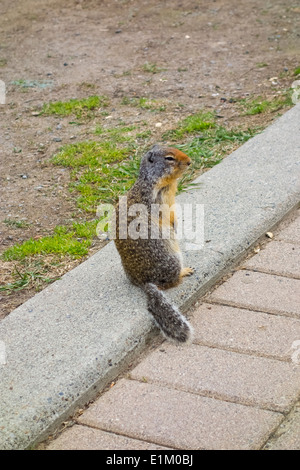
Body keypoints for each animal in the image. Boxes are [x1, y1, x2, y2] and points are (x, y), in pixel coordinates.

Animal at [113, 145, 193, 344]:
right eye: (169, 158)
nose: (189, 161)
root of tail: (144, 282)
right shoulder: (159, 200)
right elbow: (167, 216)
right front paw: (174, 226)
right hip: (172, 259)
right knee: (171, 283)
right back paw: (184, 271)